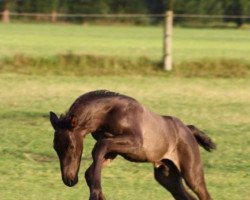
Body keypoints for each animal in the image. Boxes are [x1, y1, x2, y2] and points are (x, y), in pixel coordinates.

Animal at [48, 90, 215, 199]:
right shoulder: (113, 151)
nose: (69, 180)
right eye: (55, 147)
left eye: (71, 146)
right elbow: (94, 163)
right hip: (167, 177)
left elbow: (99, 147)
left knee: (204, 194)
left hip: (191, 173)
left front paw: (96, 193)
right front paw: (99, 194)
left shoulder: (136, 142)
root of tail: (187, 129)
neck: (109, 114)